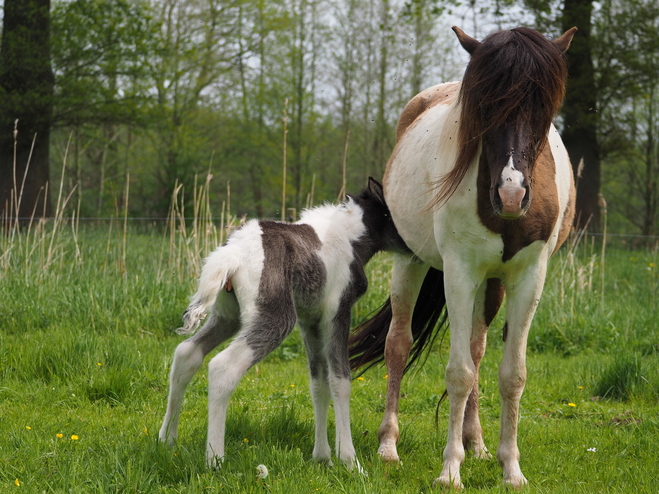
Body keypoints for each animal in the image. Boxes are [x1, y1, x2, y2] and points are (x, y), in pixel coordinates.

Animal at [160, 178, 408, 470]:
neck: (353, 238)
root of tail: (232, 253)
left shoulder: (310, 320)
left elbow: (319, 382)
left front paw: (322, 457)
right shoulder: (337, 312)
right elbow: (341, 381)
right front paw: (350, 461)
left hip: (228, 315)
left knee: (187, 353)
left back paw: (166, 440)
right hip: (276, 318)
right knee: (223, 367)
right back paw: (215, 459)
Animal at [350, 25, 576, 488]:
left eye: (544, 107)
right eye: (485, 105)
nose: (511, 194)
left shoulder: (528, 278)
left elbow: (511, 375)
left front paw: (510, 469)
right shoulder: (458, 272)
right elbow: (458, 372)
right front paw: (450, 470)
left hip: (490, 285)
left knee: (476, 347)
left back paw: (478, 444)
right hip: (412, 263)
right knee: (398, 345)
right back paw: (388, 446)